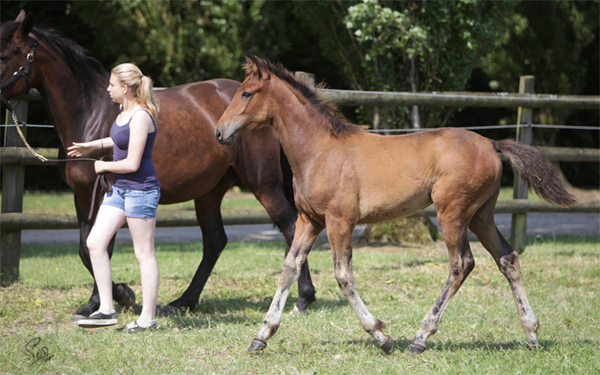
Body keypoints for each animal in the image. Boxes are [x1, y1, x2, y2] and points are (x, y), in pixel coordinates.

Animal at [0, 10, 316, 318]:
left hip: (264, 186)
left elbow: (99, 248)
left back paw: (304, 298)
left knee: (290, 228)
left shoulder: (104, 193)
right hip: (210, 192)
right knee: (215, 241)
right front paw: (95, 303)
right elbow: (87, 247)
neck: (91, 114)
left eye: (5, 56)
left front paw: (121, 296)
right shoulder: (82, 196)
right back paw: (184, 301)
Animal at [216, 55, 576, 356]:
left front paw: (382, 337)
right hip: (481, 216)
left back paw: (421, 337)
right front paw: (261, 335)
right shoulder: (309, 220)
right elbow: (289, 269)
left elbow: (343, 276)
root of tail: (490, 142)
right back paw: (531, 334)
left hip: (452, 213)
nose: (219, 132)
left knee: (461, 263)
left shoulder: (339, 221)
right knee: (508, 258)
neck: (320, 151)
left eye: (246, 93)